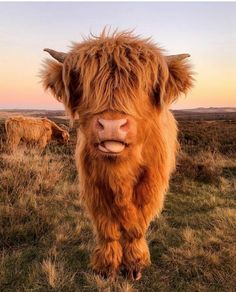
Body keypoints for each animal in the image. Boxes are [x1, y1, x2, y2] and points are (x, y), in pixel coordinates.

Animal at [42, 30, 194, 280]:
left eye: (143, 86)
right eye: (86, 84)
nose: (112, 125)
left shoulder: (150, 188)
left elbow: (136, 228)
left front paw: (134, 265)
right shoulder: (94, 187)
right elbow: (107, 229)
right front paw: (106, 267)